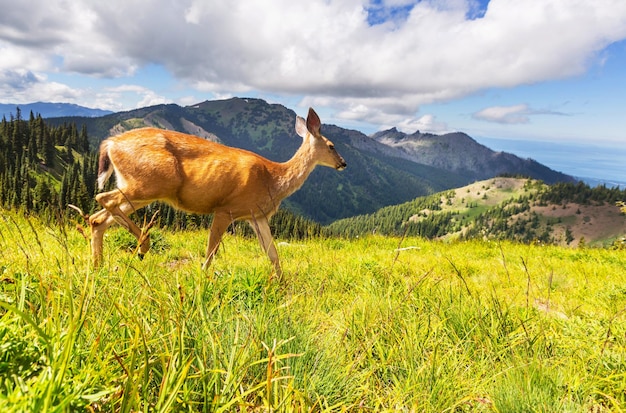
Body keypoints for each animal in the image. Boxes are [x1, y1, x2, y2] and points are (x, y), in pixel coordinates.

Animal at [84, 108, 346, 278]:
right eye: (331, 145)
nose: (343, 163)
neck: (273, 179)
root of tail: (110, 144)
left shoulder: (256, 215)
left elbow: (272, 254)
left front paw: (282, 285)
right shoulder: (225, 209)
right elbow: (211, 251)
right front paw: (202, 279)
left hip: (141, 188)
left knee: (98, 218)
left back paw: (98, 268)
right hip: (148, 183)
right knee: (103, 199)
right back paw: (142, 246)